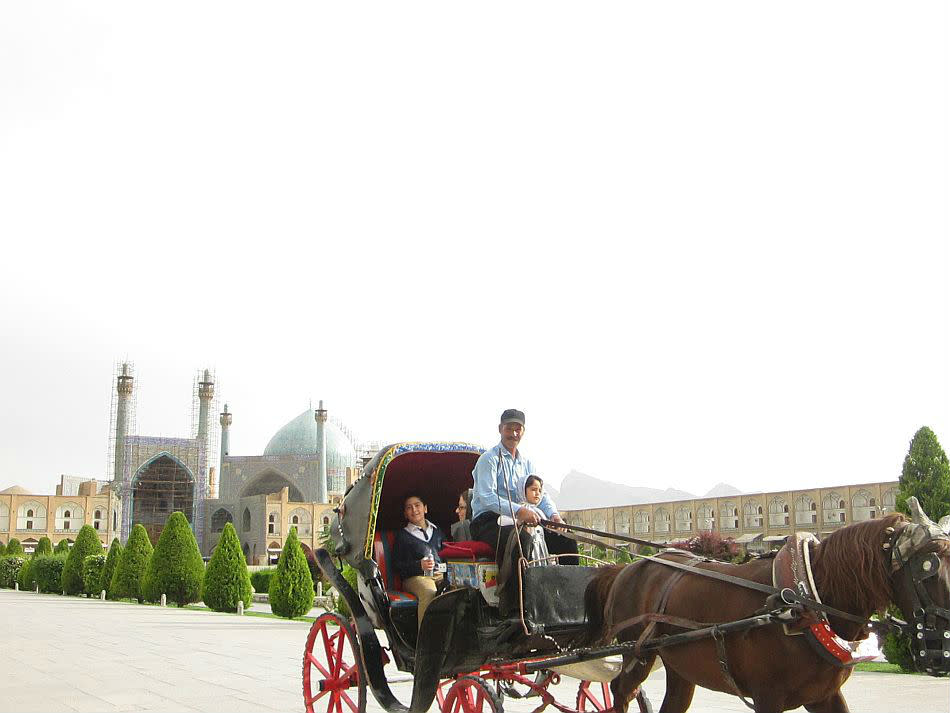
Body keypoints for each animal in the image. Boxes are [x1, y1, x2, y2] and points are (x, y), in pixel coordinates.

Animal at [580, 508, 950, 712]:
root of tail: (625, 568)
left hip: (678, 665)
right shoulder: (767, 695)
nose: (942, 650)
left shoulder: (825, 695)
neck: (804, 600)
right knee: (621, 691)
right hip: (636, 654)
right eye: (927, 569)